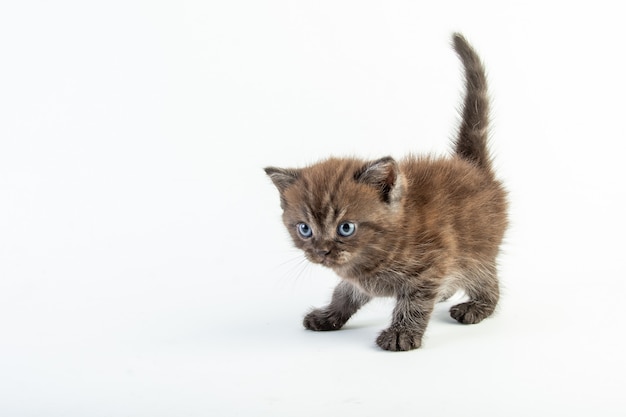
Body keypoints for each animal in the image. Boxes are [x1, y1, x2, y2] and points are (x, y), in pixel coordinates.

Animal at [264, 34, 508, 350]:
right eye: (304, 229)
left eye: (345, 228)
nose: (322, 251)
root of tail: (471, 165)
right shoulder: (358, 279)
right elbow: (344, 293)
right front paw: (329, 315)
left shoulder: (430, 266)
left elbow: (414, 302)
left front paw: (401, 333)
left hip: (476, 249)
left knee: (487, 279)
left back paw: (477, 305)